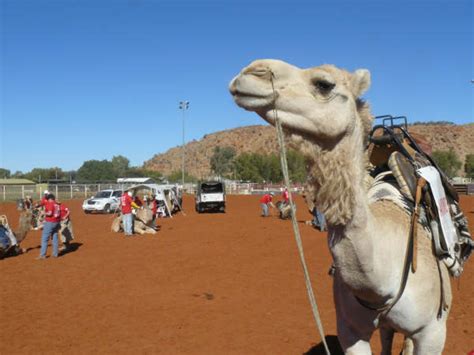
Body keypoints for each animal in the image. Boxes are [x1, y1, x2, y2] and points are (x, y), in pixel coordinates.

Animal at [231, 59, 454, 354]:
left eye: (324, 84)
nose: (251, 71)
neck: (382, 280)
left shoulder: (433, 332)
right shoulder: (350, 330)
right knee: (387, 334)